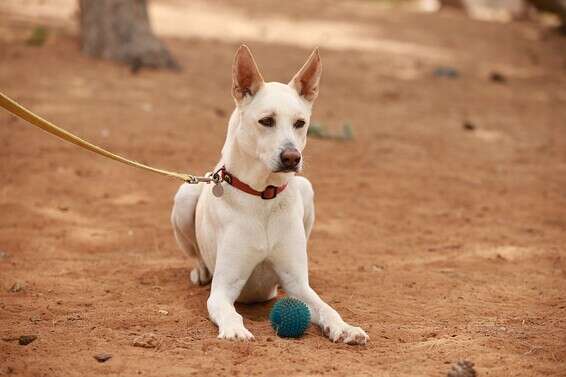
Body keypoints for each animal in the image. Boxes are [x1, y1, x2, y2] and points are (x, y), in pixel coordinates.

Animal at [171, 44, 370, 344]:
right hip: (185, 195)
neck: (263, 196)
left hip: (306, 189)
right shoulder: (223, 289)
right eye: (266, 121)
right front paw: (235, 330)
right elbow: (230, 312)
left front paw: (345, 327)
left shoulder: (297, 283)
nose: (292, 158)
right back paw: (200, 271)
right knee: (194, 254)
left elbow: (327, 308)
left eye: (300, 123)